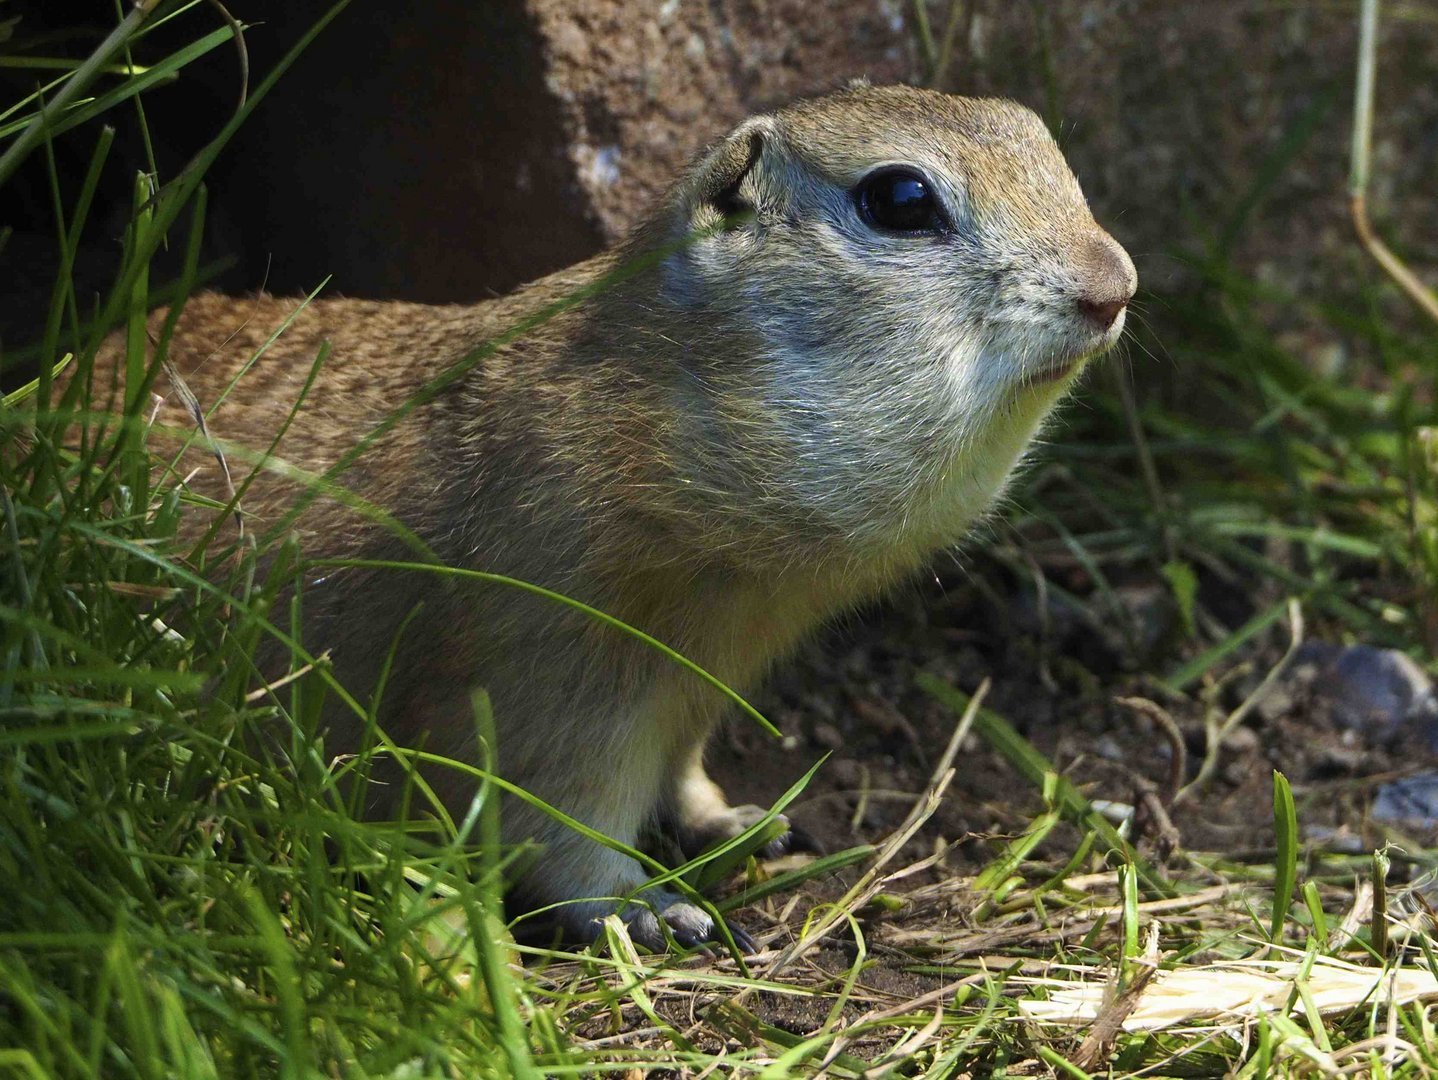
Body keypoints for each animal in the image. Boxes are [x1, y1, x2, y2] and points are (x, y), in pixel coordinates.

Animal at [89, 84, 1133, 949]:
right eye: (901, 200)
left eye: (1038, 135)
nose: (1114, 284)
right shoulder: (551, 671)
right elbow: (561, 820)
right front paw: (652, 910)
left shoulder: (701, 679)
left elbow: (681, 770)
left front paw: (738, 820)